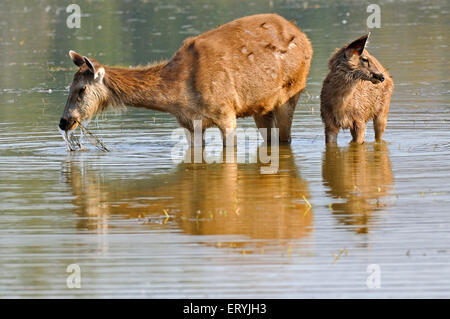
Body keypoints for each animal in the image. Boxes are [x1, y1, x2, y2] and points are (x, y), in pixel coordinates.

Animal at [59, 13, 312, 146]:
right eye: (68, 87)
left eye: (81, 89)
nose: (64, 121)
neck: (179, 96)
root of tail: (305, 38)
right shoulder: (190, 123)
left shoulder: (226, 112)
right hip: (261, 107)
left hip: (291, 91)